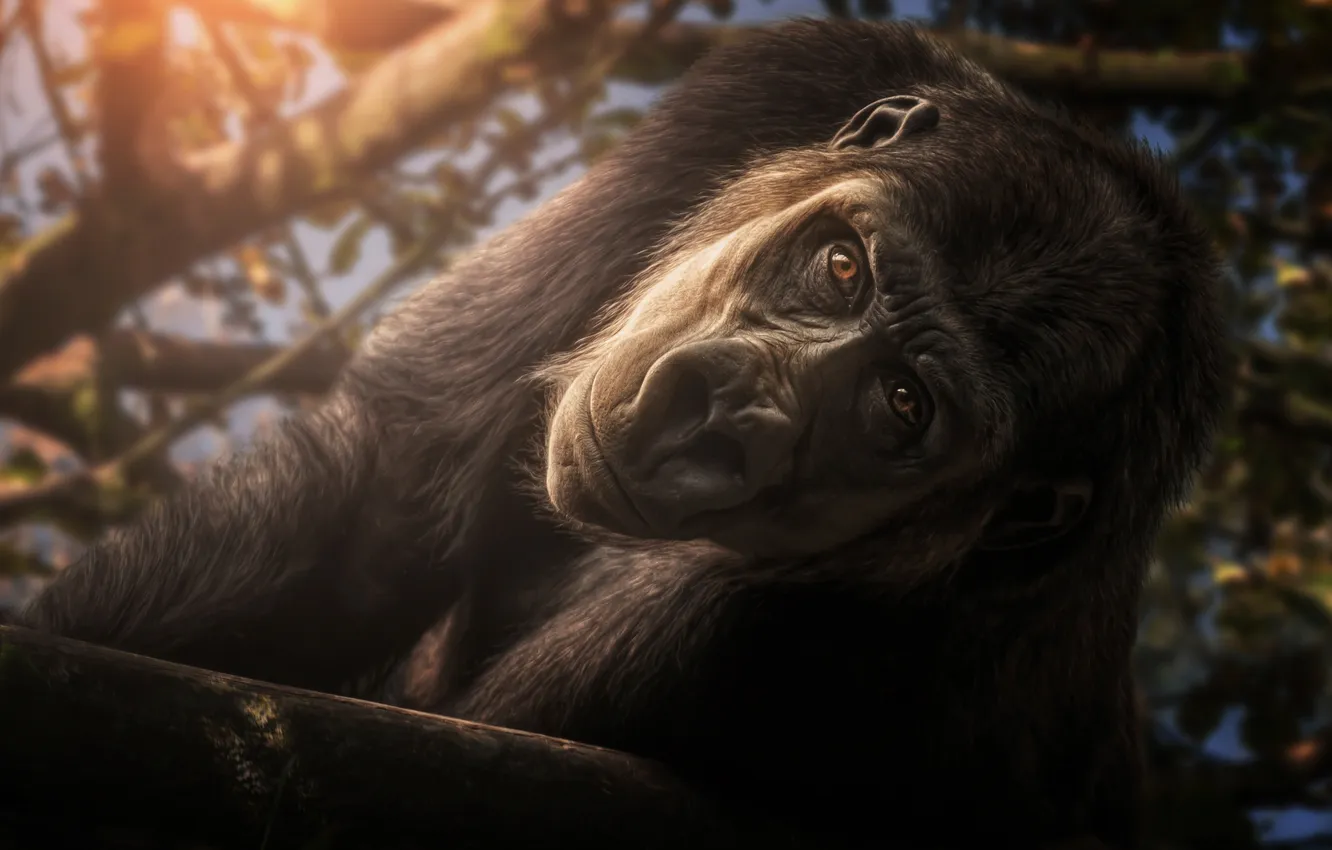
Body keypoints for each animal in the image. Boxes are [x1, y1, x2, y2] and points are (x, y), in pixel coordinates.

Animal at [16, 18, 1228, 849]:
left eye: (900, 407)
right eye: (844, 271)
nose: (721, 411)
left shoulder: (783, 655)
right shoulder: (781, 85)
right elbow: (381, 507)